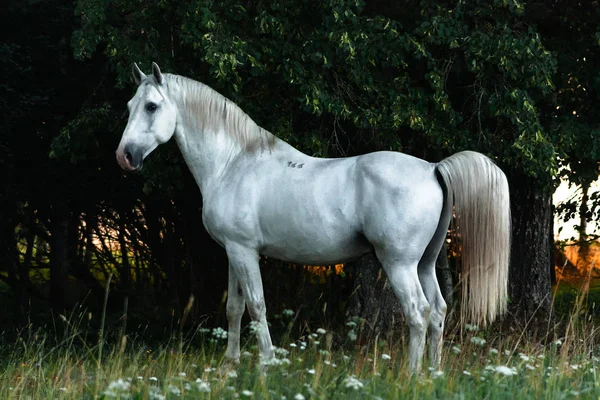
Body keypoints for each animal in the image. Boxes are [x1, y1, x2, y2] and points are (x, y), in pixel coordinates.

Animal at [117, 61, 510, 372]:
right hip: (425, 262)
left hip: (399, 263)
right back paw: (432, 373)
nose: (125, 156)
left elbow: (257, 307)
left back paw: (410, 376)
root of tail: (433, 168)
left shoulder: (244, 251)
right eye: (130, 105)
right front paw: (230, 365)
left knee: (418, 313)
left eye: (151, 106)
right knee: (439, 312)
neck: (233, 163)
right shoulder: (232, 252)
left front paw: (266, 364)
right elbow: (234, 308)